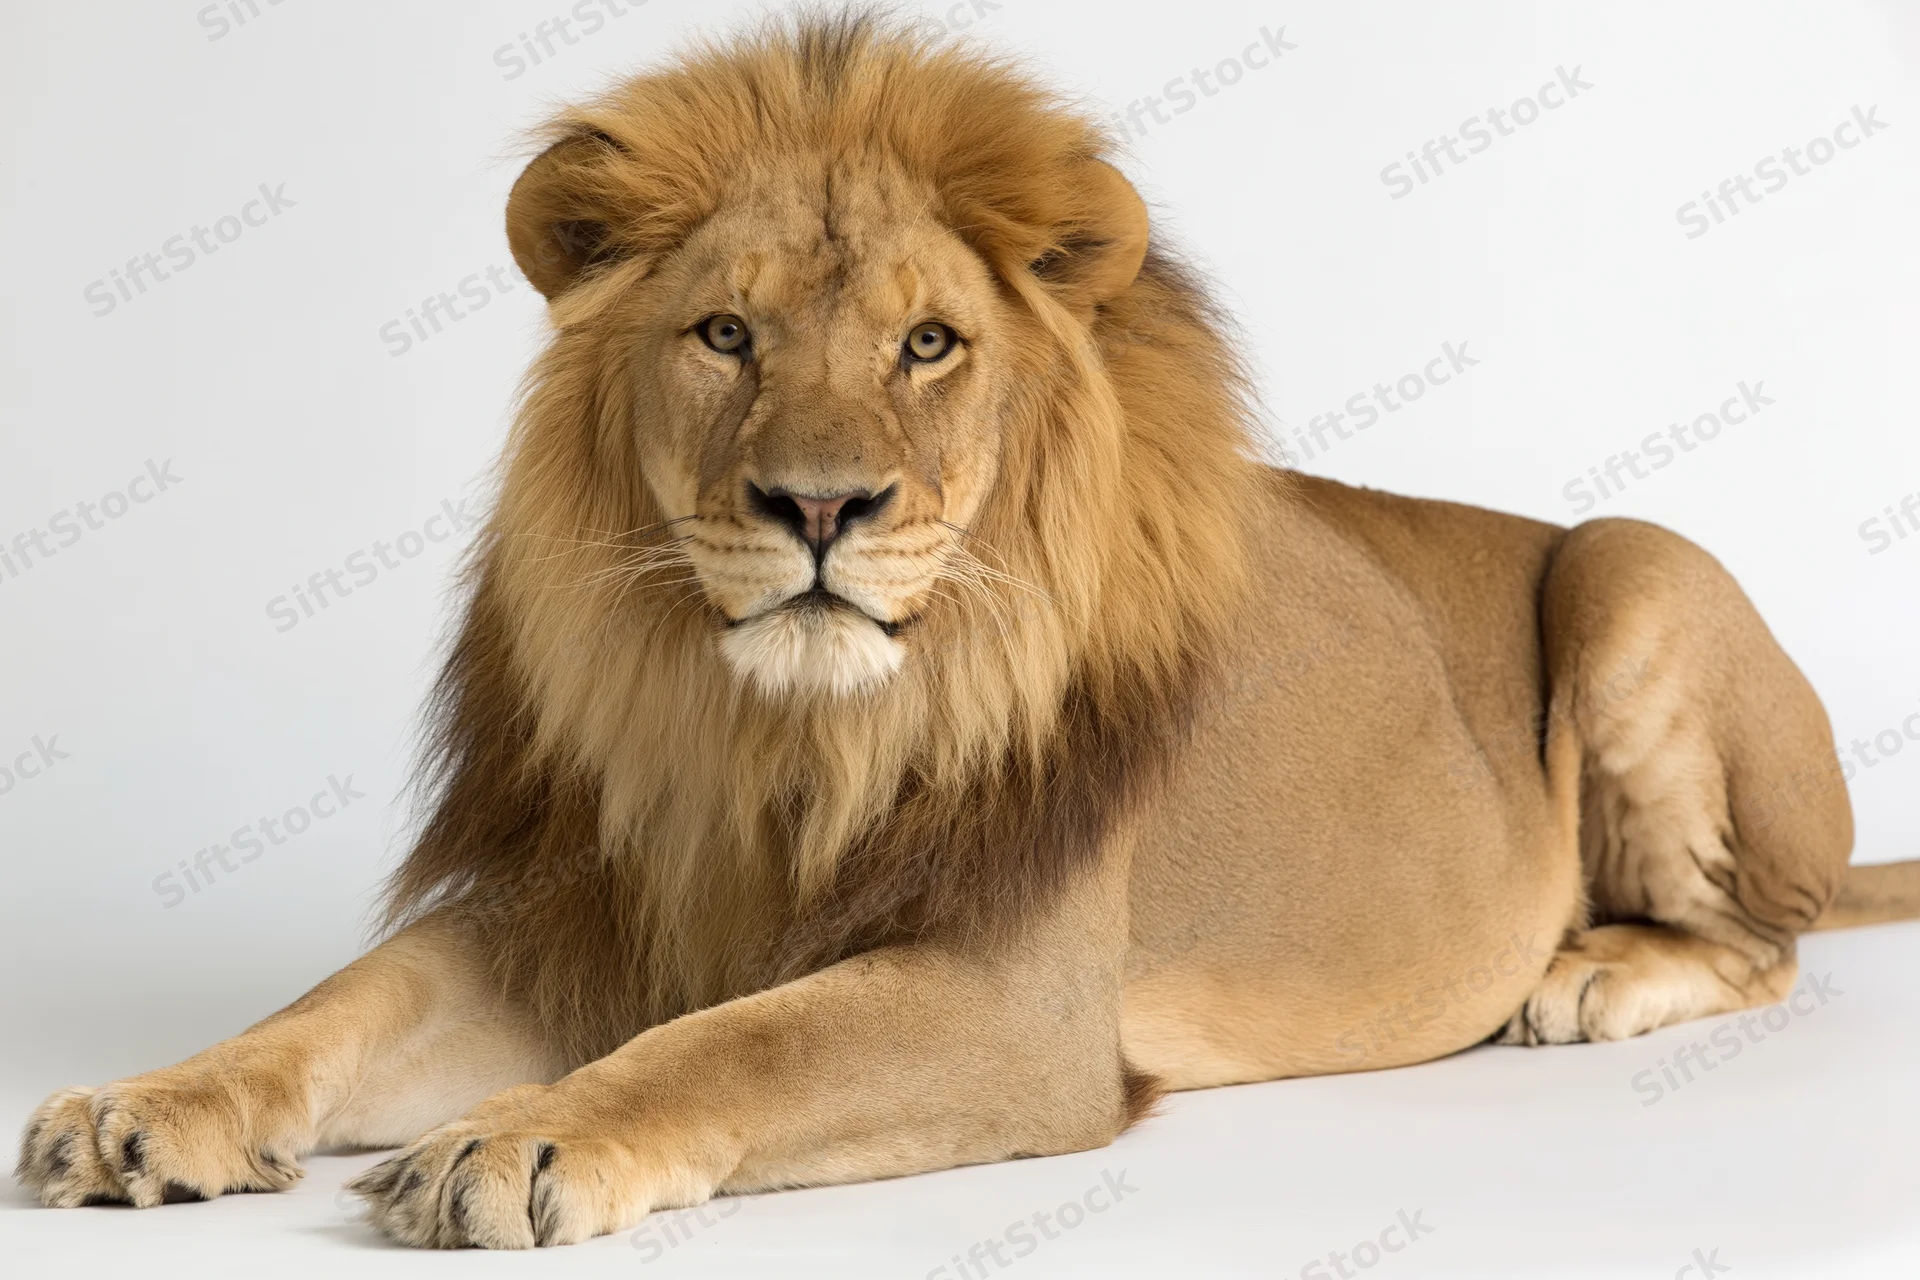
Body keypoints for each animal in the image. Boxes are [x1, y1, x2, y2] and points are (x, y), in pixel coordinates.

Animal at [19, 13, 1919, 1249]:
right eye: (724, 335)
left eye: (928, 345)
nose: (821, 509)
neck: (776, 731)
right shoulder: (595, 906)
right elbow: (333, 1006)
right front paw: (143, 1105)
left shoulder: (1013, 998)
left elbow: (740, 1041)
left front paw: (535, 1133)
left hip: (1634, 563)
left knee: (1767, 934)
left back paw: (1588, 973)